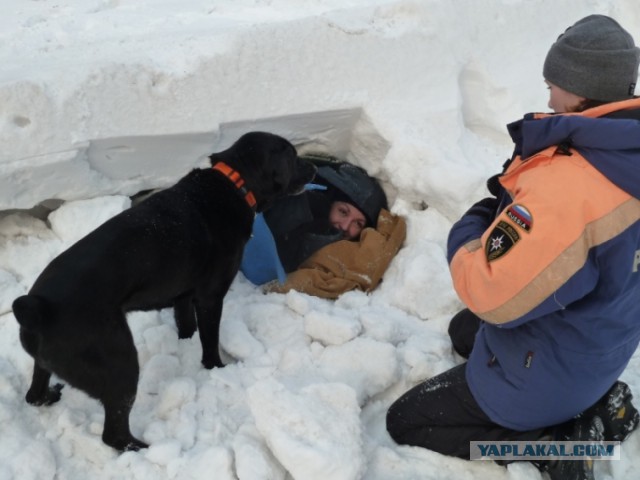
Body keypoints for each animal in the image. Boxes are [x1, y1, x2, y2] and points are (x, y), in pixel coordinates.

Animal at [11, 130, 316, 450]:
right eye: (292, 155)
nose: (314, 167)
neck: (233, 183)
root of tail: (38, 307)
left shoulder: (183, 295)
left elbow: (186, 325)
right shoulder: (210, 296)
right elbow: (209, 340)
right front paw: (217, 368)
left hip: (49, 363)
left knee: (33, 395)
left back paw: (49, 396)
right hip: (121, 364)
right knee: (113, 434)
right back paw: (144, 447)